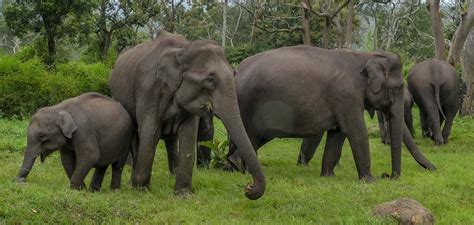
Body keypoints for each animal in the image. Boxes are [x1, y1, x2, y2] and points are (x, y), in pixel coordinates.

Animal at [108, 30, 266, 200]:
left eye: (233, 73)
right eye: (210, 78)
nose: (248, 187)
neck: (183, 49)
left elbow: (188, 134)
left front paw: (183, 194)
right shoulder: (147, 90)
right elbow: (151, 132)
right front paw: (141, 191)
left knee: (170, 139)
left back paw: (172, 174)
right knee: (137, 136)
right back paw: (133, 181)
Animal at [226, 46, 436, 181]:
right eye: (399, 87)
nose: (388, 176)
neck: (365, 56)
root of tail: (237, 70)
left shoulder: (341, 101)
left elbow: (337, 133)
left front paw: (328, 176)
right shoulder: (345, 96)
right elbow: (356, 131)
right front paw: (370, 180)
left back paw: (233, 168)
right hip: (249, 106)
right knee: (251, 137)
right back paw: (240, 168)